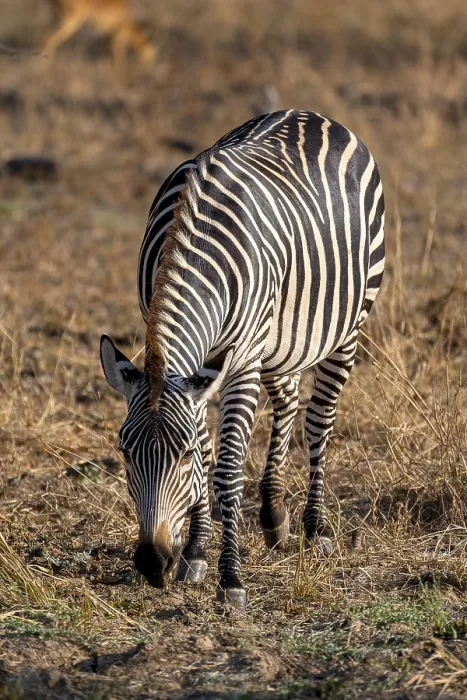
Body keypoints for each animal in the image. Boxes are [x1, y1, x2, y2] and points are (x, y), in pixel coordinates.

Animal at [100, 110, 385, 608]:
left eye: (181, 454)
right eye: (124, 452)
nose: (153, 563)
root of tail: (310, 114)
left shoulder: (241, 361)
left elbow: (227, 467)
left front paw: (229, 578)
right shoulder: (202, 366)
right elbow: (211, 456)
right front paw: (195, 551)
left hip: (347, 325)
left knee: (319, 419)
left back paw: (316, 528)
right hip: (279, 343)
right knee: (288, 399)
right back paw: (274, 514)